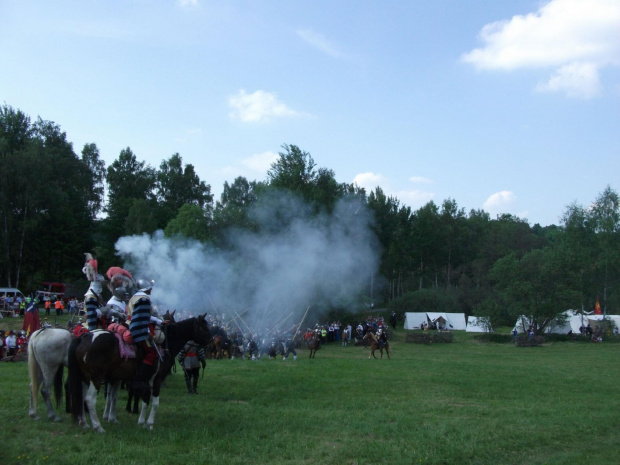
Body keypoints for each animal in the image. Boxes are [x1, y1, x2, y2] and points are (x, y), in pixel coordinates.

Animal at [68, 312, 211, 432]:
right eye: (203, 328)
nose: (210, 342)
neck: (165, 344)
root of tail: (85, 337)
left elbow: (140, 399)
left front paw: (140, 421)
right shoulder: (155, 379)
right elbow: (154, 402)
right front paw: (149, 423)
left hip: (85, 377)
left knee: (81, 396)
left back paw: (84, 423)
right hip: (96, 377)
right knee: (89, 399)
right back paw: (98, 427)